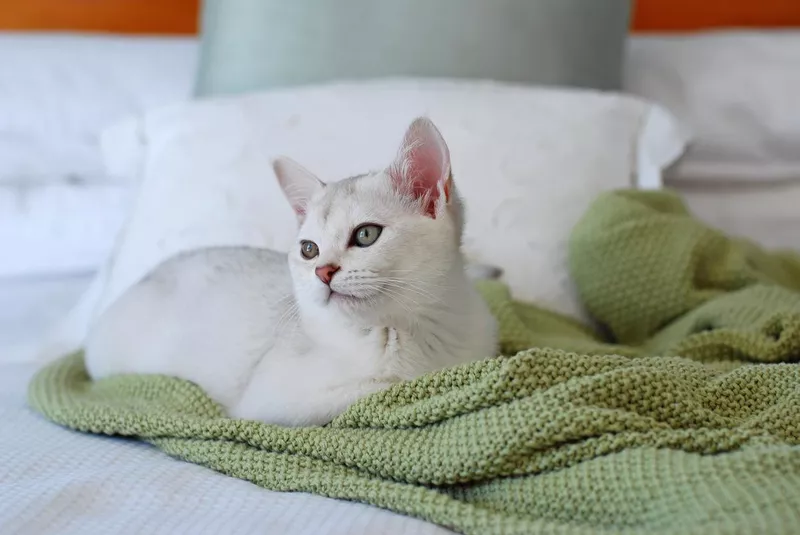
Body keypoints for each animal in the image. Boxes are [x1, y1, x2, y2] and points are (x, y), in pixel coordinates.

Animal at [87, 117, 500, 428]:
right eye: (309, 249)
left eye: (366, 235)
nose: (323, 272)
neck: (417, 330)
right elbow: (384, 389)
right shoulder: (266, 400)